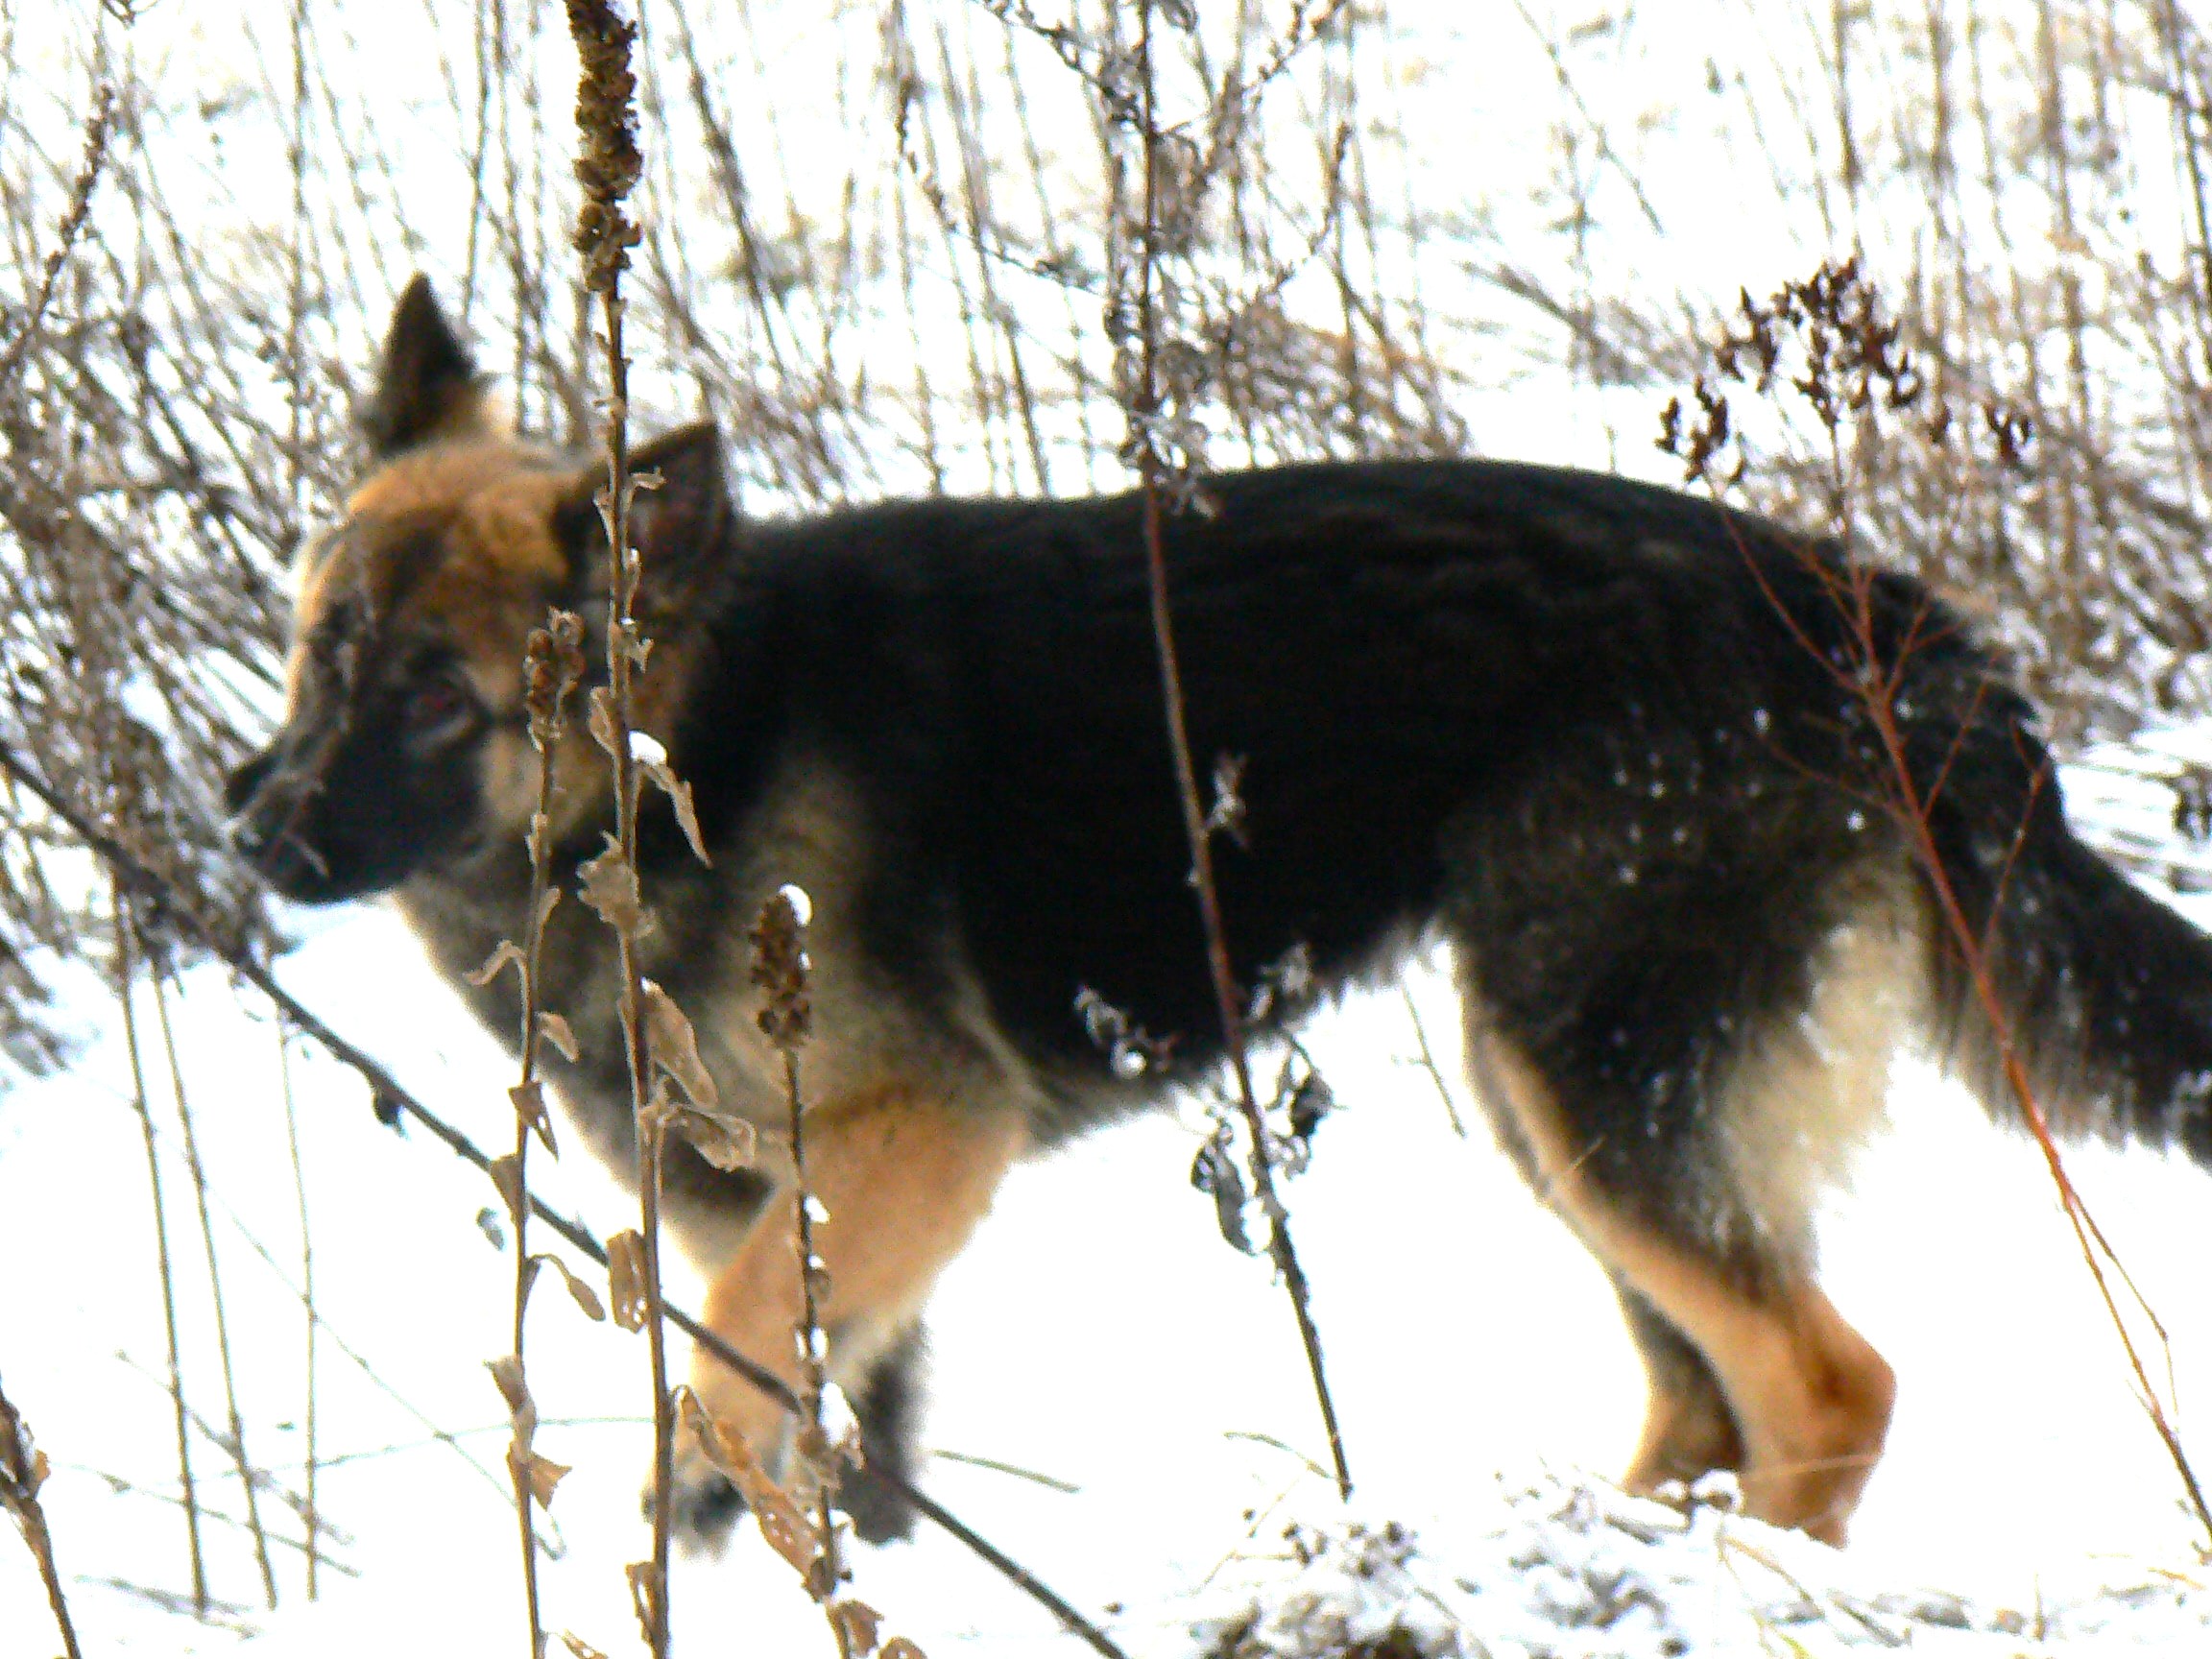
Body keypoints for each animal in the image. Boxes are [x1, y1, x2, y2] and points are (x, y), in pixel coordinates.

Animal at [220, 279, 2212, 1557]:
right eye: (319, 651)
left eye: (437, 700)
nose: (253, 830)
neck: (682, 753)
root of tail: (1883, 621)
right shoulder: (789, 1202)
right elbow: (821, 1435)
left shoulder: (917, 1136)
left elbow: (722, 1368)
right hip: (1565, 1098)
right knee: (1705, 1393)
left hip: (1592, 1081)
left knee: (1822, 1386)